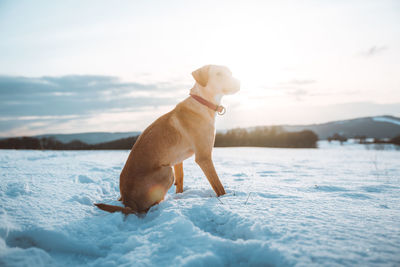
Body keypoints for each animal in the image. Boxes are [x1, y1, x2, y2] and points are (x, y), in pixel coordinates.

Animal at [96, 65, 241, 216]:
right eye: (218, 74)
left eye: (230, 73)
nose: (239, 83)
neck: (203, 102)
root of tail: (128, 201)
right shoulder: (204, 157)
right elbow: (218, 186)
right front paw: (226, 197)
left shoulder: (177, 160)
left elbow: (180, 180)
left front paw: (180, 197)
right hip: (167, 171)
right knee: (146, 208)